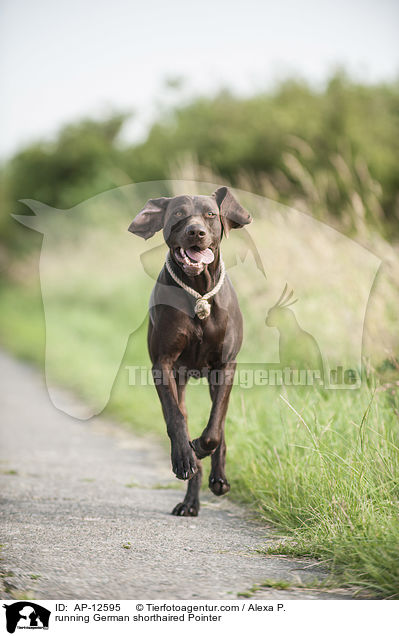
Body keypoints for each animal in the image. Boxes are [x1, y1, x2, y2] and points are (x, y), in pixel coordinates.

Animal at [130, 186, 252, 516]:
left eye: (210, 214)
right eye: (178, 214)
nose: (196, 232)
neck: (198, 290)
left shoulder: (226, 366)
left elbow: (214, 429)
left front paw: (200, 447)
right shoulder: (163, 365)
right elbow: (176, 418)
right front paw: (185, 457)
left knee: (218, 425)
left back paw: (217, 478)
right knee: (181, 418)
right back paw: (190, 498)